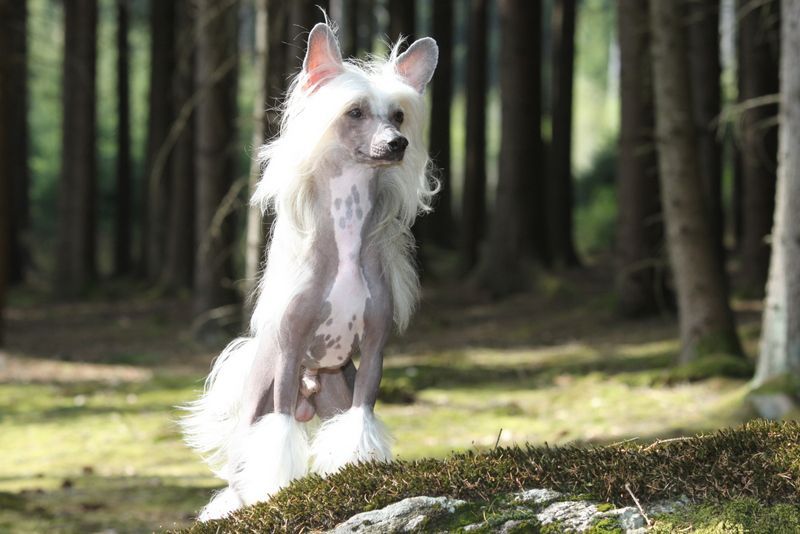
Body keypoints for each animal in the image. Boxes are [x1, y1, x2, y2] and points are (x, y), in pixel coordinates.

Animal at [181, 22, 439, 521]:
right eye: (355, 112)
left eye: (398, 116)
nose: (397, 144)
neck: (346, 235)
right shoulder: (291, 349)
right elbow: (279, 434)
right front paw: (275, 487)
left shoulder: (373, 351)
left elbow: (361, 418)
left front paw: (360, 467)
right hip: (259, 400)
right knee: (241, 466)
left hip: (337, 388)